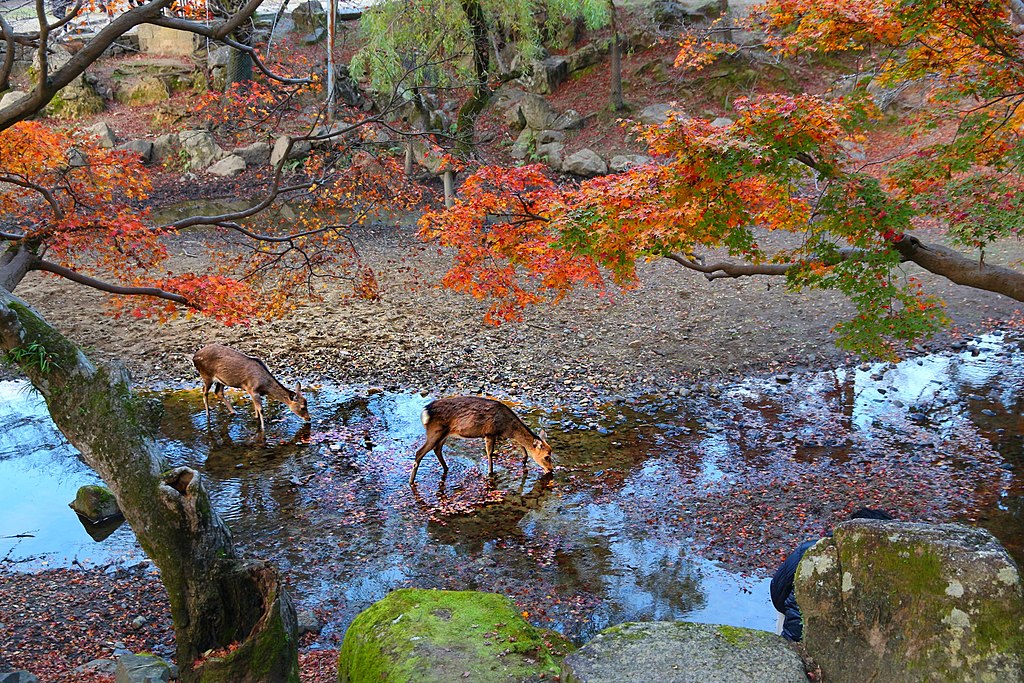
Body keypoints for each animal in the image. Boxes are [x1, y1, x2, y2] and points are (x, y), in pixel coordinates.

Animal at [410, 396, 554, 485]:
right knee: (419, 452)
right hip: (435, 431)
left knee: (437, 449)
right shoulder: (490, 433)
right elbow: (490, 453)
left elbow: (521, 446)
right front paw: (490, 473)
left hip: (443, 434)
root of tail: (425, 412)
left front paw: (523, 460)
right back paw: (411, 482)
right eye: (546, 457)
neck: (507, 427)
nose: (551, 470)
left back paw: (446, 468)